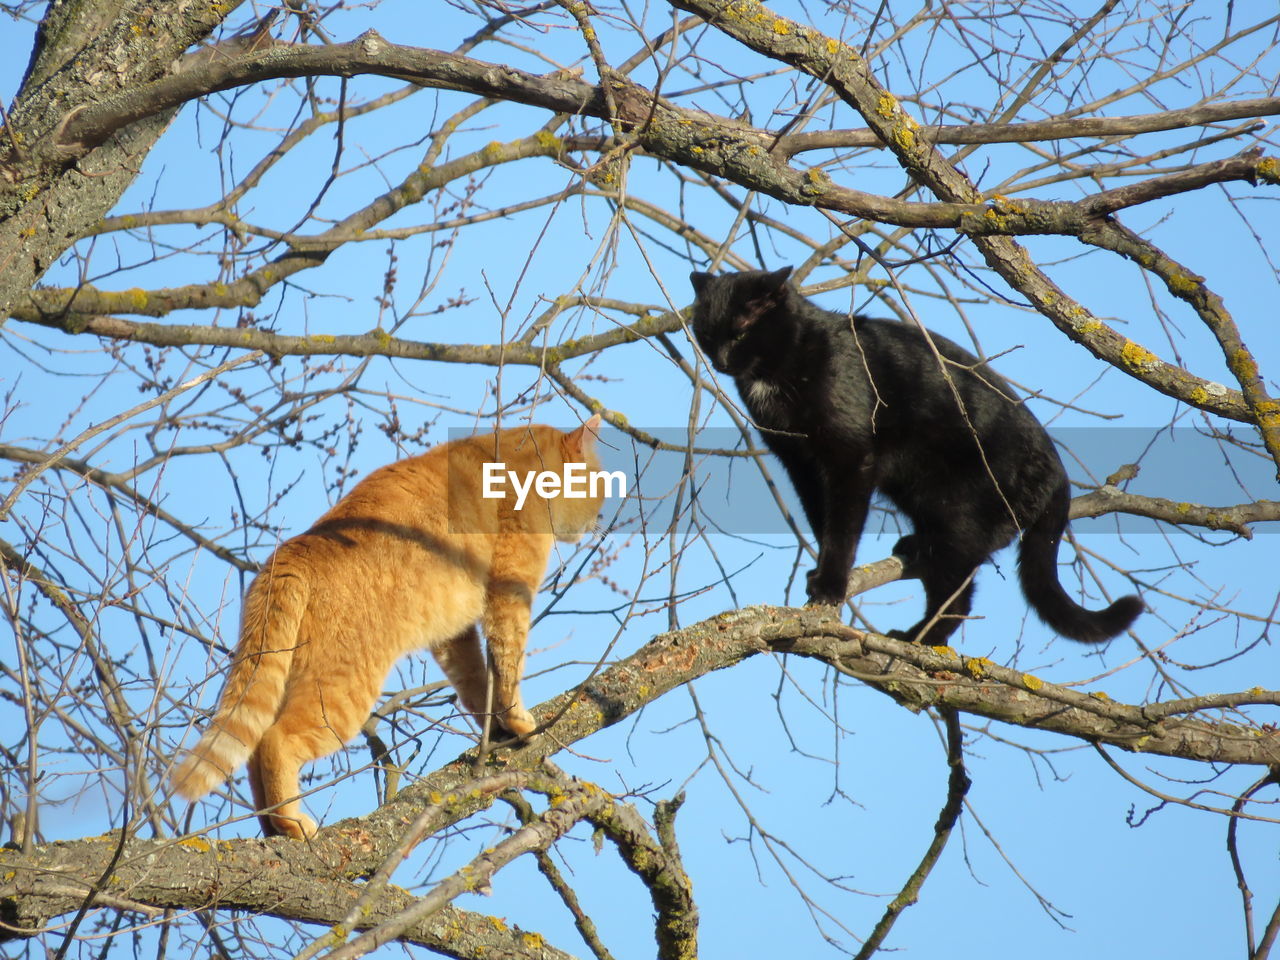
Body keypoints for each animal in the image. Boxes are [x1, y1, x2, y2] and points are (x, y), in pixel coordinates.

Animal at [170, 417, 604, 839]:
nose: (599, 520)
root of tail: (295, 550)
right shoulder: (510, 592)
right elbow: (507, 664)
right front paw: (517, 722)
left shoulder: (453, 633)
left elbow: (475, 681)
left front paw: (494, 728)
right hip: (341, 693)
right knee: (276, 740)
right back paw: (291, 822)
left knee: (255, 743)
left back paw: (271, 825)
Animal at [696, 267, 1146, 647]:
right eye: (706, 334)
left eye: (740, 333)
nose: (720, 360)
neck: (782, 368)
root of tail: (1059, 474)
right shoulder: (799, 464)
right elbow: (820, 519)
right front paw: (821, 573)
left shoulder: (849, 457)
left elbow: (843, 526)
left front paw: (831, 585)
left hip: (954, 510)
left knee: (958, 597)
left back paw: (915, 638)